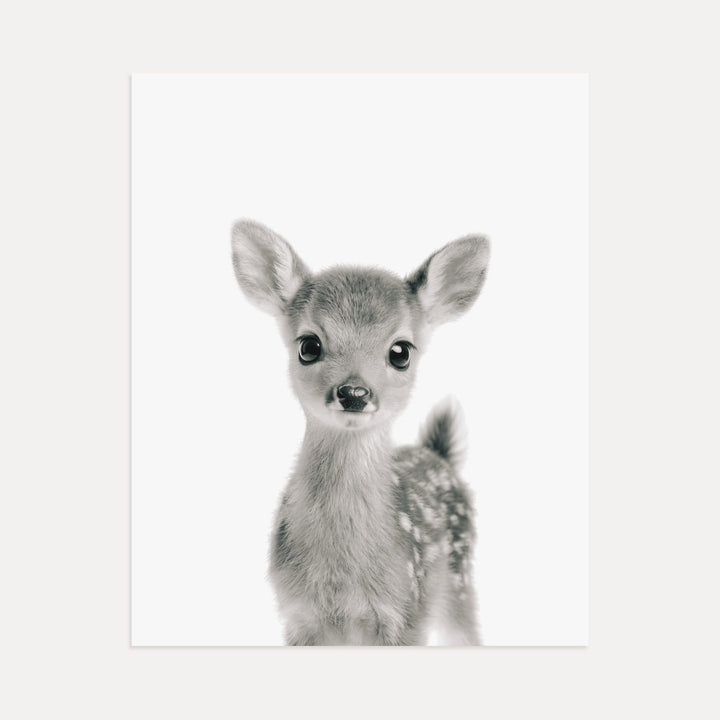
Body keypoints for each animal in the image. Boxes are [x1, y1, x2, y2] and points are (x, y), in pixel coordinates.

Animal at [231, 219, 490, 645]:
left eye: (401, 352)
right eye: (309, 345)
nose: (354, 393)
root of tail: (438, 454)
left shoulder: (407, 612)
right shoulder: (297, 616)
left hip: (460, 580)